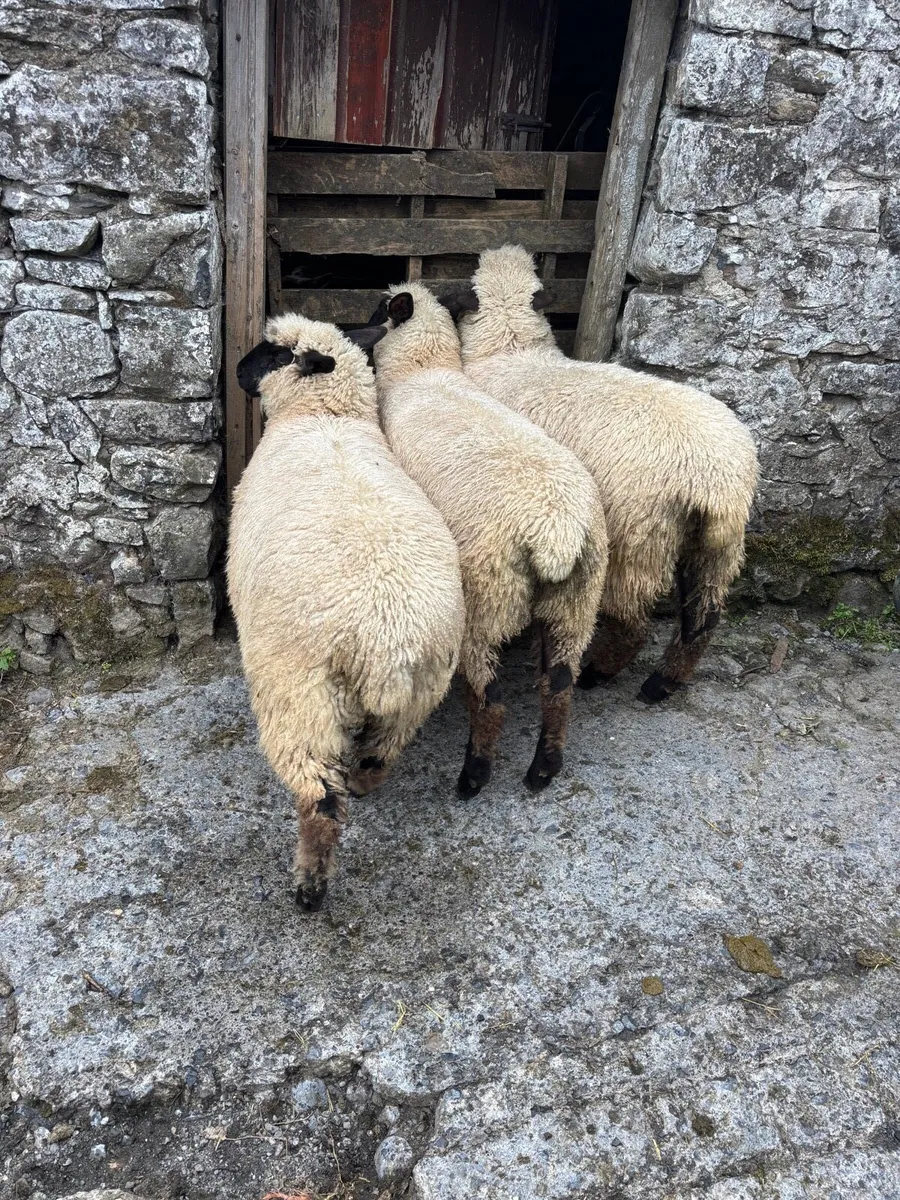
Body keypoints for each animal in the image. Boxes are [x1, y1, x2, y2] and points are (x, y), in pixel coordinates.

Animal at [228, 314, 466, 910]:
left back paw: (310, 886)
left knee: (320, 802)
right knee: (377, 760)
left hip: (300, 699)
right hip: (417, 696)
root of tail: (386, 647)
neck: (322, 418)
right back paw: (362, 783)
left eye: (276, 352)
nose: (237, 369)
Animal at [368, 282, 608, 795]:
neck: (424, 370)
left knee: (491, 696)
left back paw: (474, 775)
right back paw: (543, 769)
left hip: (486, 606)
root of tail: (556, 534)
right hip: (577, 601)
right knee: (560, 684)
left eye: (379, 307)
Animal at [446, 243, 759, 703]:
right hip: (718, 548)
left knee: (634, 622)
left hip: (638, 538)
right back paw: (664, 682)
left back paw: (602, 673)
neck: (511, 349)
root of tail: (716, 485)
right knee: (704, 617)